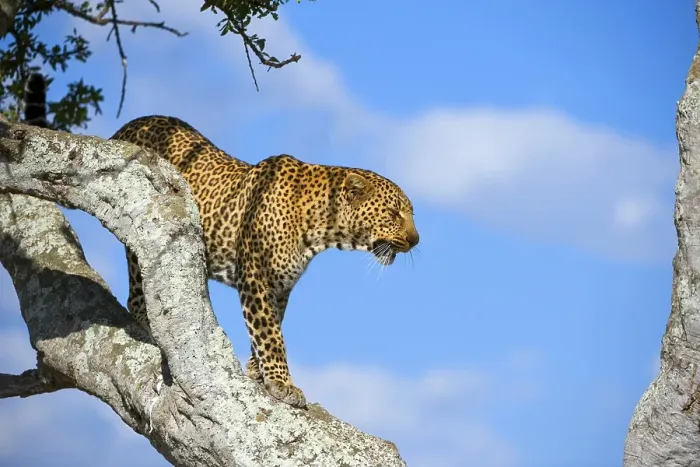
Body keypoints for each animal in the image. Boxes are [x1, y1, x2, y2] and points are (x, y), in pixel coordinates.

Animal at [106, 115, 421, 408]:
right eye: (393, 213)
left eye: (410, 214)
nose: (416, 240)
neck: (319, 227)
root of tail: (130, 126)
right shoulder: (255, 275)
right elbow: (270, 333)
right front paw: (282, 382)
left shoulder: (281, 287)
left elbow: (270, 326)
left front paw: (258, 371)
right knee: (137, 290)